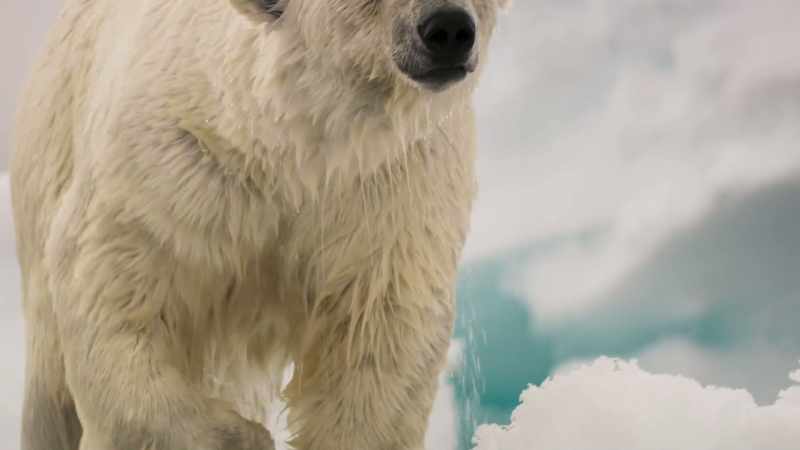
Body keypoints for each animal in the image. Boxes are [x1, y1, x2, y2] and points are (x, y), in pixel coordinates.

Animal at [11, 0, 507, 449]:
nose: (448, 28)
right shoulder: (172, 171)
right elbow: (115, 286)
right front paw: (242, 436)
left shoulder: (389, 191)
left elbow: (379, 328)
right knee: (49, 393)